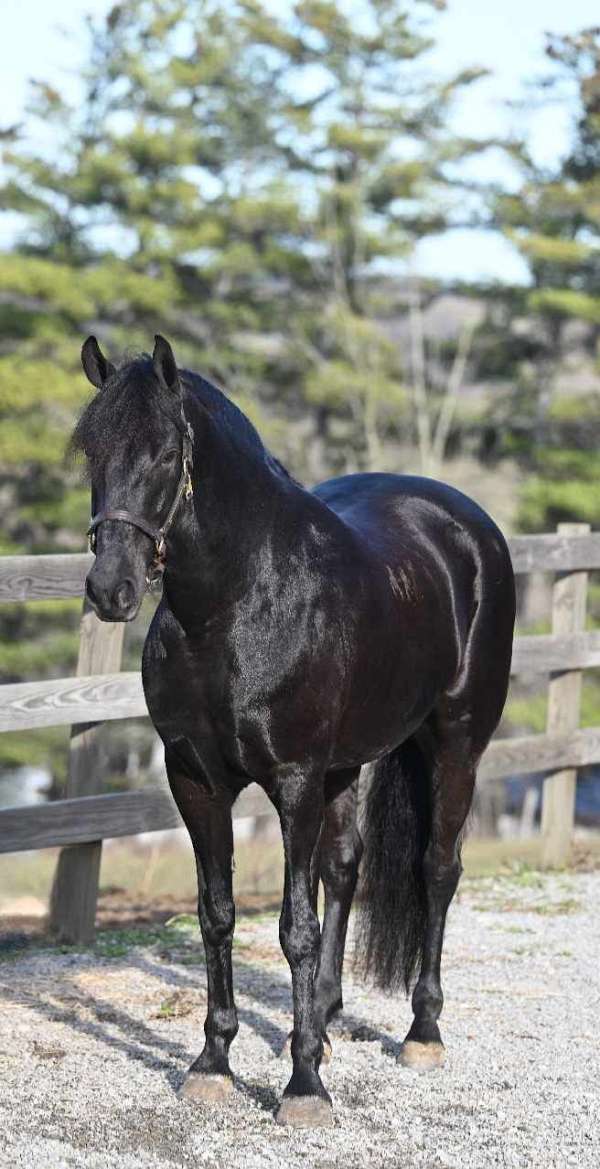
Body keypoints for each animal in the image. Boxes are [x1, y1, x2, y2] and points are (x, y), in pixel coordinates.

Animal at [76, 334, 514, 1126]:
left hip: (456, 744)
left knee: (437, 870)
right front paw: (215, 1063)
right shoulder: (195, 779)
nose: (110, 589)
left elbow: (293, 927)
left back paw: (421, 1032)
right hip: (349, 764)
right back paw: (324, 1020)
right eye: (90, 450)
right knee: (345, 868)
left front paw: (304, 1087)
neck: (235, 605)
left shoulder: (295, 780)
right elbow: (217, 914)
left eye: (165, 453)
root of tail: (466, 528)